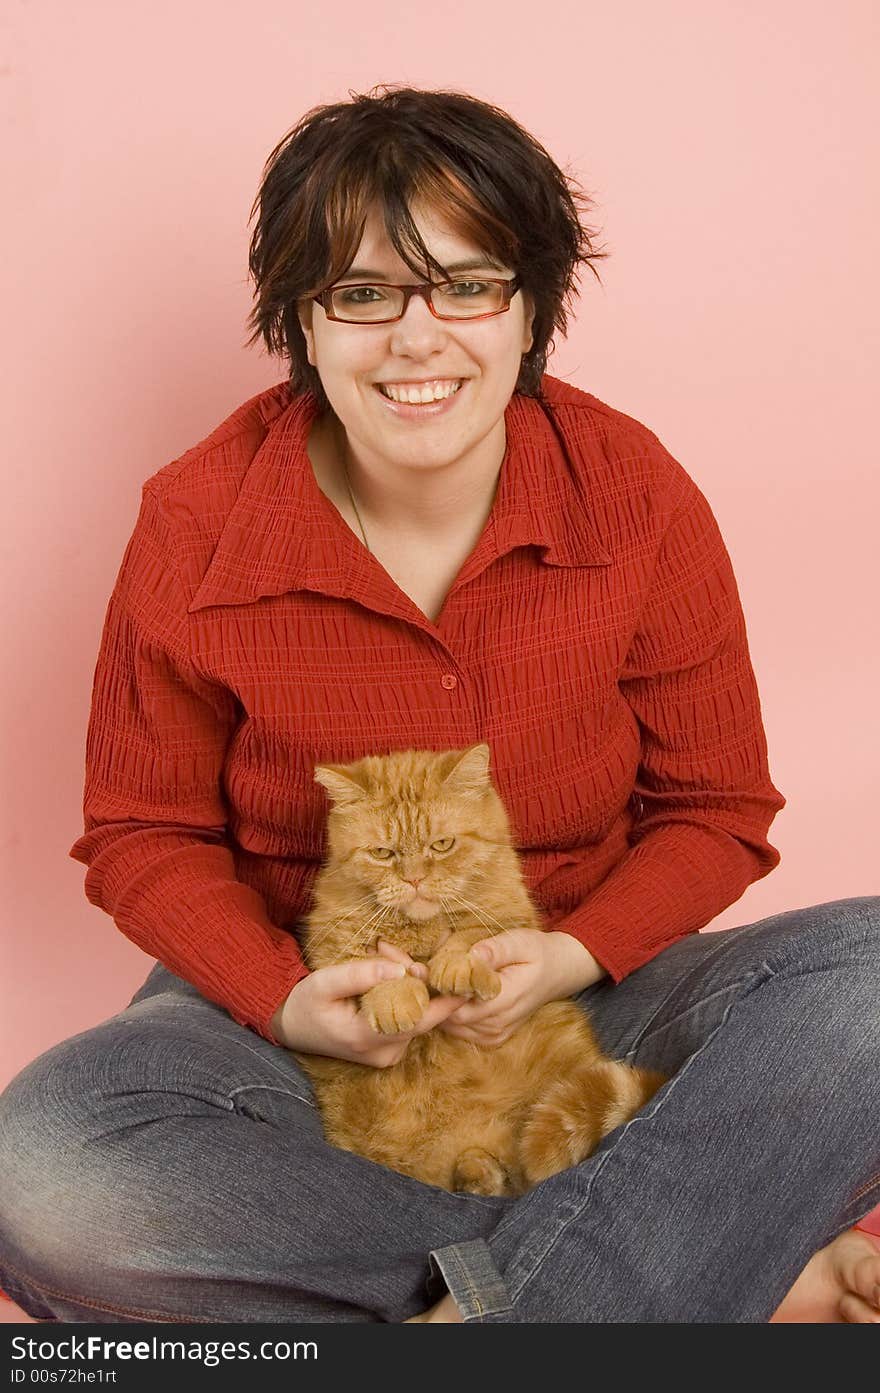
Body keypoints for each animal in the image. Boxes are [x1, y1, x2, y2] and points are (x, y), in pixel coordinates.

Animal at [292, 746, 662, 1192]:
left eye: (442, 845)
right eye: (383, 854)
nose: (414, 880)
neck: (421, 932)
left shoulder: (509, 916)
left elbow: (470, 936)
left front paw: (455, 966)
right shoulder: (328, 938)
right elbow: (372, 964)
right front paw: (395, 999)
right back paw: (476, 1172)